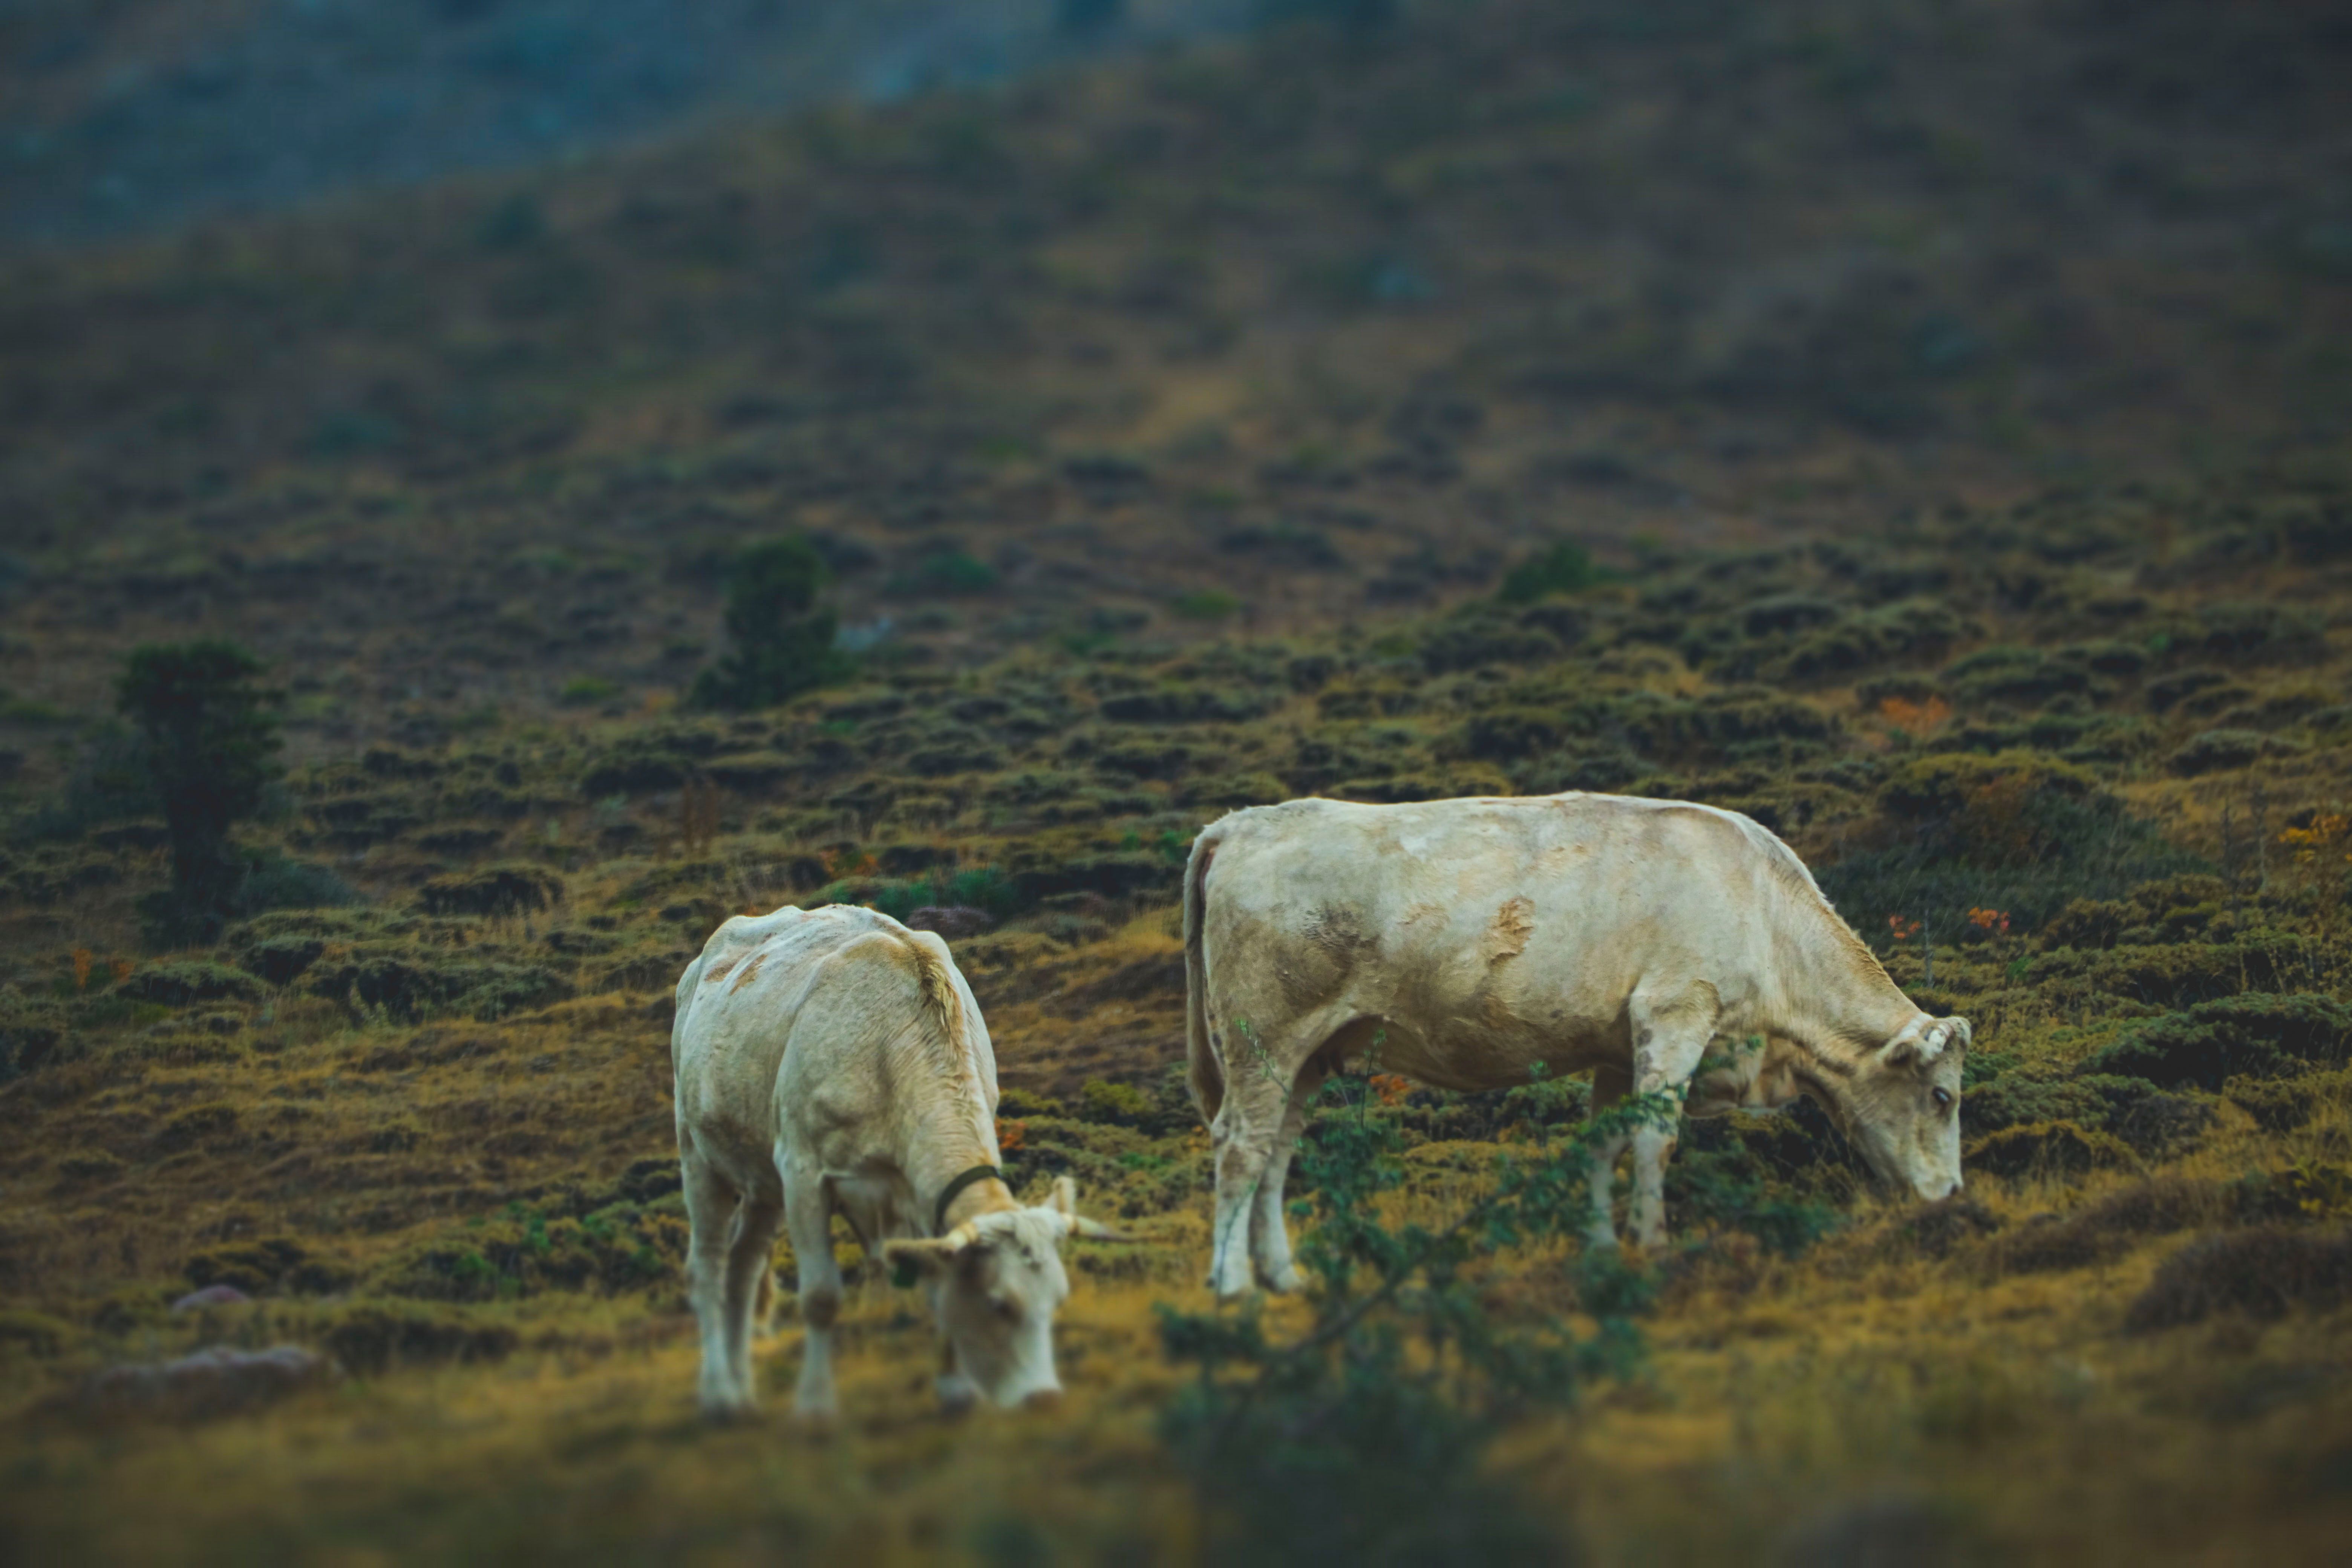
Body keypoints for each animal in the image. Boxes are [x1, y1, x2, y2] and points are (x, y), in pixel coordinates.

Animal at [672, 904, 1124, 1422]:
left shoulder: (912, 1188)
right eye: (999, 1304)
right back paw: (720, 1393)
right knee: (707, 1266)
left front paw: (955, 1389)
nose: (1045, 1397)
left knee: (743, 1267)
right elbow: (821, 1296)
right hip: (697, 1152)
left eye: (1057, 1300)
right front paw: (815, 1405)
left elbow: (935, 1284)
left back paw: (744, 1390)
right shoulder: (802, 1169)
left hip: (760, 1175)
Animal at [1182, 792, 1968, 1298]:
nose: (1955, 1197)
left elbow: (1604, 1144)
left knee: (1278, 1152)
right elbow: (1655, 1141)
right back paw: (1232, 1283)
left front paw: (1600, 1246)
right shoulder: (1676, 1012)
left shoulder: (1619, 1048)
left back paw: (1284, 1275)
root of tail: (1238, 824)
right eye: (1942, 1096)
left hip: (1308, 1055)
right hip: (1265, 1037)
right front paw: (1652, 1242)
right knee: (1243, 1146)